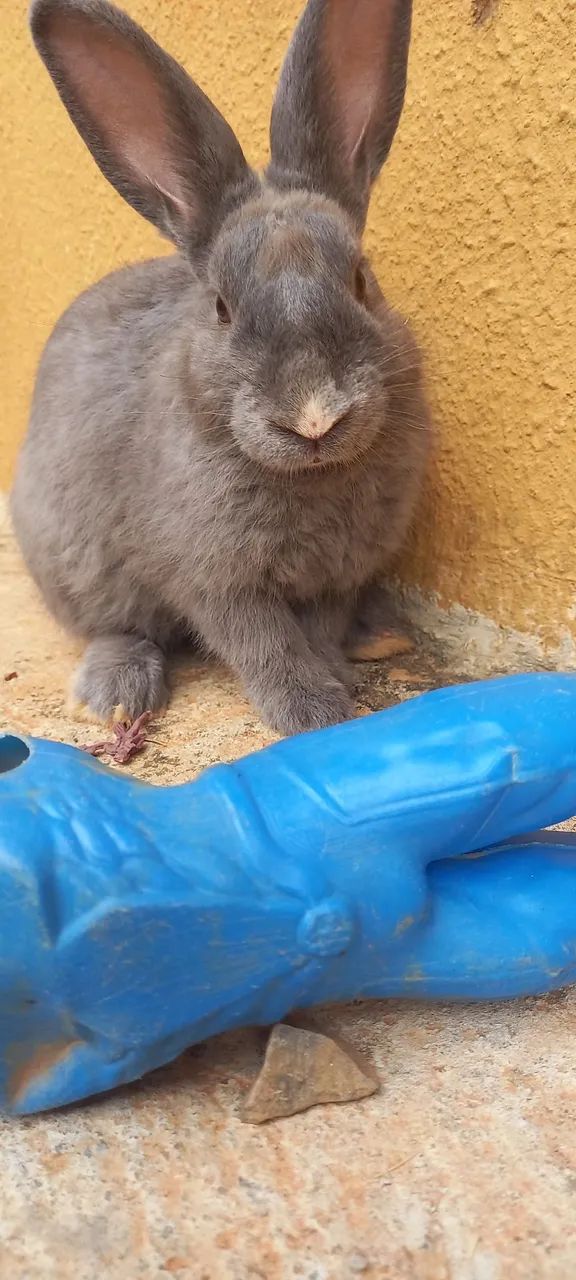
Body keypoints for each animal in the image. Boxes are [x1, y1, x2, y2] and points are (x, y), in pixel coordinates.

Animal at [11, 0, 431, 736]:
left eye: (362, 281)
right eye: (221, 308)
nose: (314, 418)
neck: (312, 478)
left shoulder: (339, 575)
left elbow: (316, 629)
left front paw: (332, 679)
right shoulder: (213, 579)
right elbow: (261, 641)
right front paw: (313, 710)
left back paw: (379, 636)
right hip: (76, 565)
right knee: (114, 626)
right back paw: (113, 694)